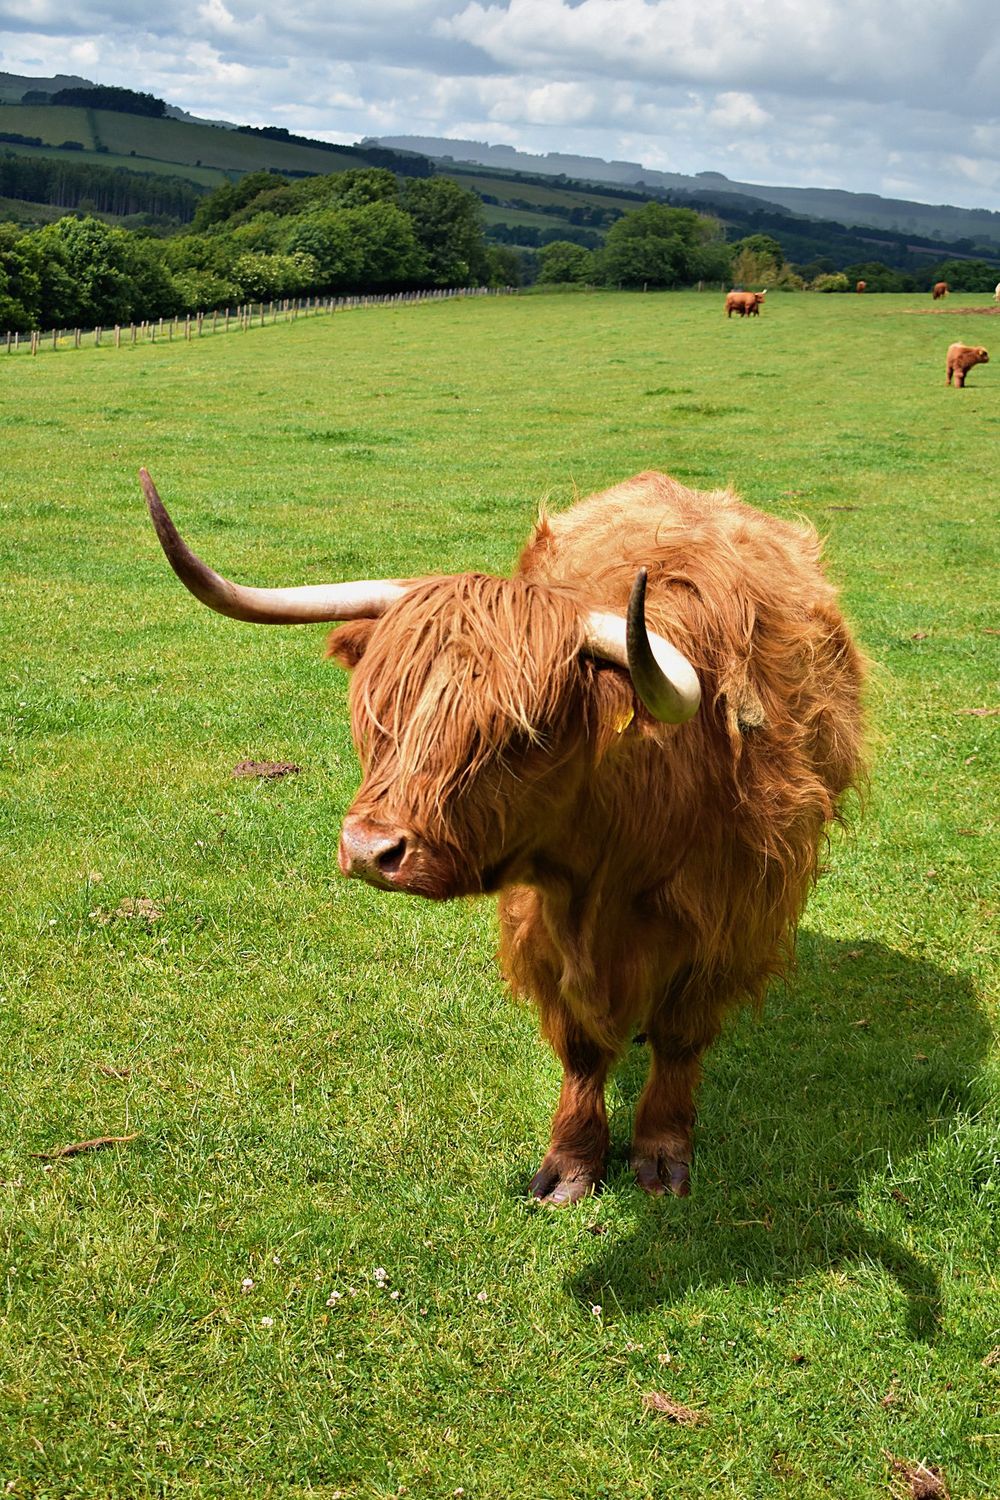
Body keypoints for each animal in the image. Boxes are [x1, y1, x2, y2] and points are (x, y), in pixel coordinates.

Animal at [141, 467, 866, 1206]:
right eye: (384, 708)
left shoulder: (729, 921)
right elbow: (580, 1042)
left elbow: (680, 1038)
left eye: (523, 735)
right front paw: (571, 1165)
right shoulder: (540, 918)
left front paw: (663, 1156)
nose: (372, 852)